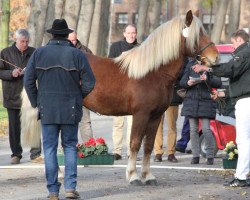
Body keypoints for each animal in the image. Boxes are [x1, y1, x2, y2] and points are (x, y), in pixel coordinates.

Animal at [21, 10, 217, 186]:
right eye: (198, 34)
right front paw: (133, 176)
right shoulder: (141, 115)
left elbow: (148, 146)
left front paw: (148, 176)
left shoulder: (155, 116)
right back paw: (59, 174)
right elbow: (135, 143)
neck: (153, 73)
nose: (215, 57)